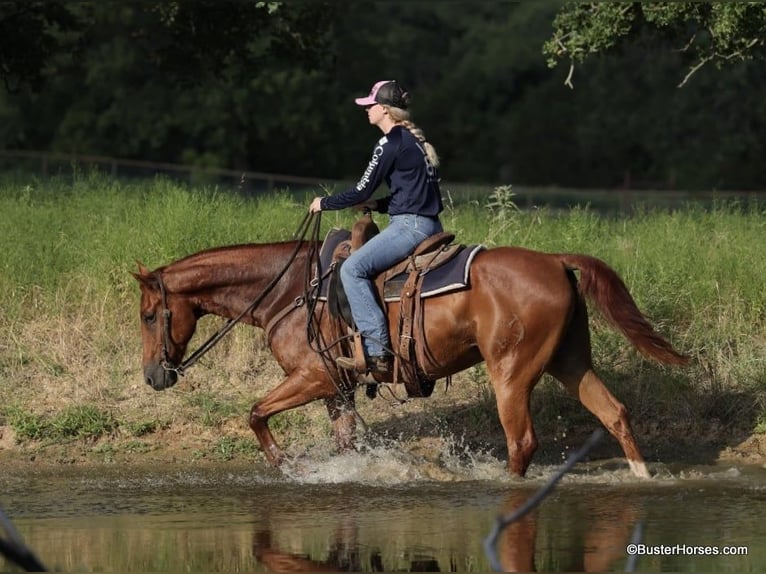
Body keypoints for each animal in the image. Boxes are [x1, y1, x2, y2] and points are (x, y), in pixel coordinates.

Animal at [132, 223, 687, 478]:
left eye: (147, 315)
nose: (153, 377)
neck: (290, 289)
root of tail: (554, 260)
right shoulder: (337, 389)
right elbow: (345, 443)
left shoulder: (314, 377)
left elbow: (255, 413)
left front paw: (284, 463)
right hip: (570, 362)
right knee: (613, 412)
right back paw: (641, 476)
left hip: (512, 372)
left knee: (522, 441)